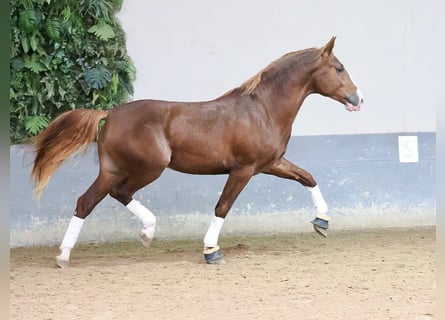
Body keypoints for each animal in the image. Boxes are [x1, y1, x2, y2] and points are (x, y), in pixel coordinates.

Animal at [32, 37, 364, 266]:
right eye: (339, 68)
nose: (358, 99)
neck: (262, 109)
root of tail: (110, 114)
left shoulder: (271, 163)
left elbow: (307, 177)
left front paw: (322, 222)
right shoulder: (243, 169)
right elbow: (222, 207)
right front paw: (211, 250)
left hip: (111, 169)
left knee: (85, 202)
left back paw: (64, 256)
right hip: (147, 168)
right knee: (119, 193)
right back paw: (147, 233)